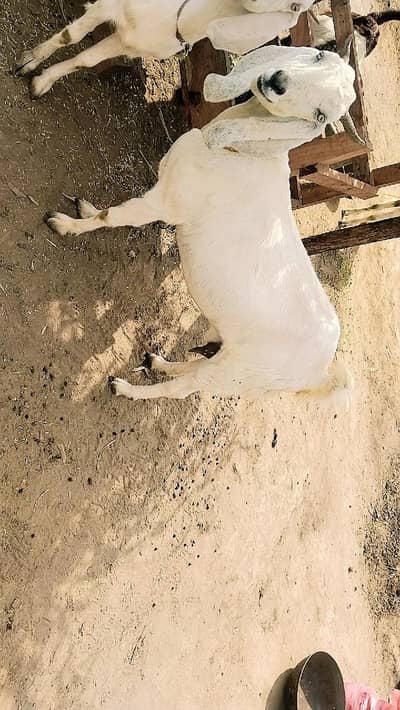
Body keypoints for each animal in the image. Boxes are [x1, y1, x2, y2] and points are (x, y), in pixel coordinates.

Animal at [16, 0, 315, 98]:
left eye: (295, 6)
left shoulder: (130, 41)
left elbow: (86, 60)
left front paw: (42, 81)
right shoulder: (114, 5)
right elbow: (70, 36)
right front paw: (29, 59)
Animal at [45, 45, 361, 401]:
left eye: (321, 115)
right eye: (320, 56)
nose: (277, 81)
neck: (239, 152)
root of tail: (319, 373)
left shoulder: (166, 203)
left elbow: (112, 216)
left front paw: (66, 225)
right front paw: (84, 209)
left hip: (235, 374)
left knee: (182, 389)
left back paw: (127, 388)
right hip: (223, 345)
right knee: (194, 365)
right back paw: (158, 363)